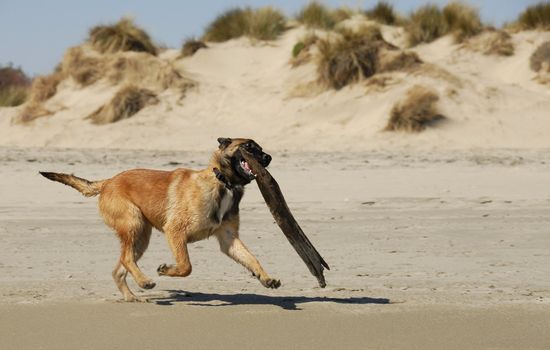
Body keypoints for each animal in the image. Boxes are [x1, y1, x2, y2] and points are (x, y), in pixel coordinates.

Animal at [40, 138, 280, 302]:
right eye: (248, 146)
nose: (268, 158)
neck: (222, 182)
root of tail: (108, 182)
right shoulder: (175, 231)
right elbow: (186, 266)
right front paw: (166, 270)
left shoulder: (229, 239)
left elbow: (252, 259)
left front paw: (266, 277)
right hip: (134, 223)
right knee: (126, 259)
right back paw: (145, 281)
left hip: (141, 237)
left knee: (120, 267)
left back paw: (132, 296)